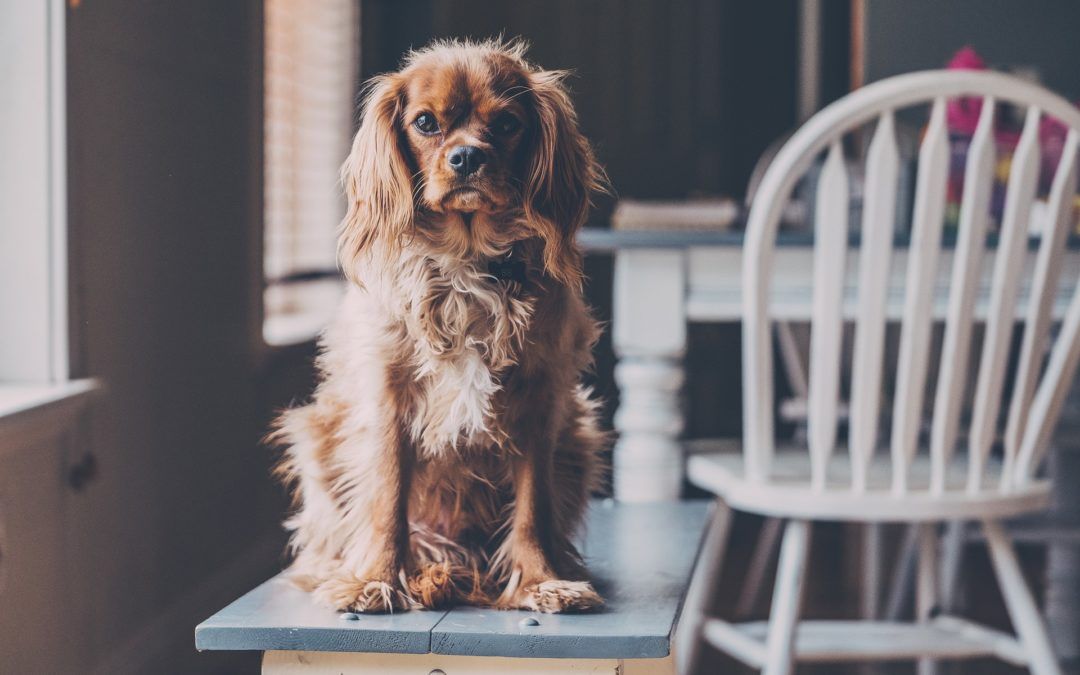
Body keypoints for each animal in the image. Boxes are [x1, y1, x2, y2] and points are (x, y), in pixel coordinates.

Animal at [272, 38, 609, 617]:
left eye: (507, 124)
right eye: (426, 123)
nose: (467, 156)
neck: (466, 259)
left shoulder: (541, 398)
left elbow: (532, 506)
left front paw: (541, 581)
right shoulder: (388, 394)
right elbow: (387, 498)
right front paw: (374, 579)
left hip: (579, 435)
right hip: (315, 431)